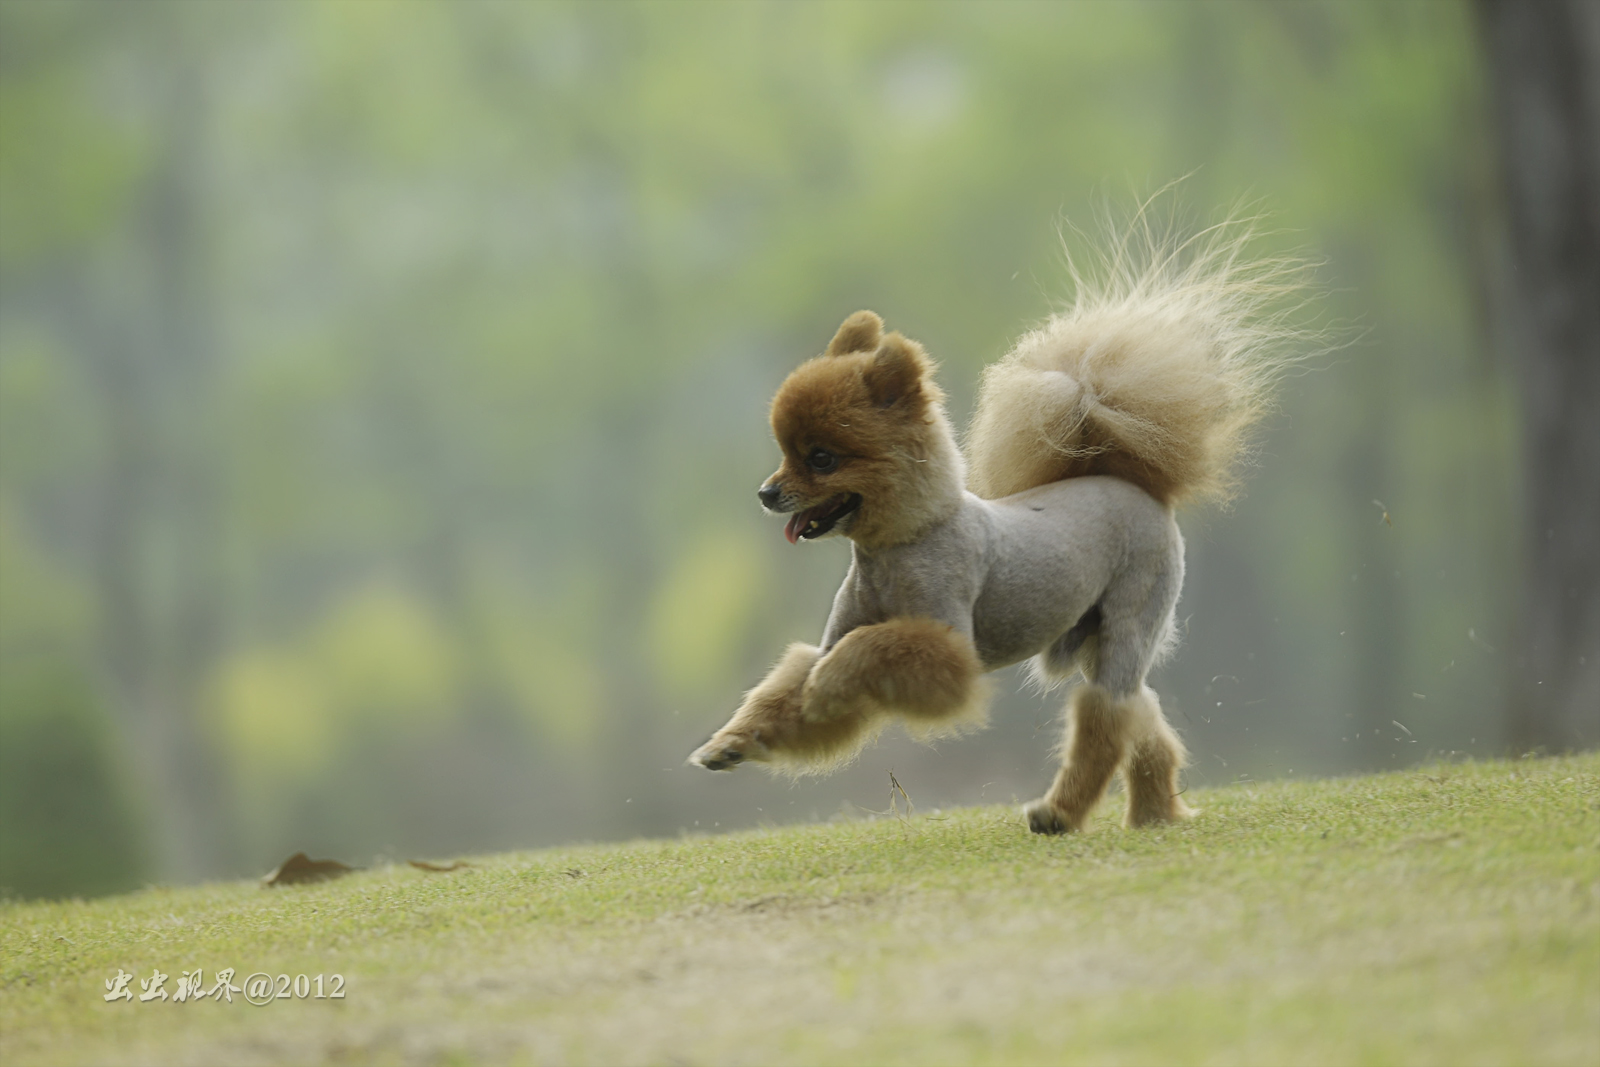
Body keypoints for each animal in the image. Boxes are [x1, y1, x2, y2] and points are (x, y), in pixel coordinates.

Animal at [694, 219, 1305, 831]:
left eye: (821, 459)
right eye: (784, 453)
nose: (767, 493)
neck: (900, 545)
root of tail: (1127, 478)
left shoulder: (949, 651)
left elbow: (871, 647)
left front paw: (824, 688)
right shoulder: (835, 638)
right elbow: (792, 689)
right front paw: (735, 741)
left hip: (1130, 619)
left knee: (1105, 719)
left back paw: (1061, 813)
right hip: (1099, 638)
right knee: (1140, 713)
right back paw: (1154, 814)